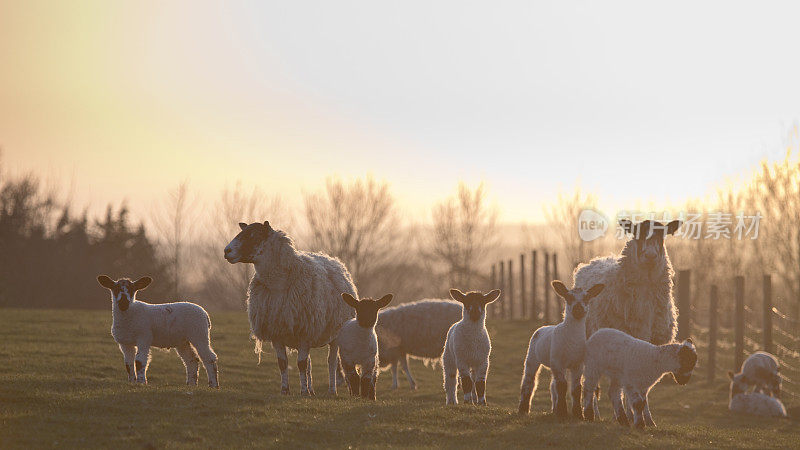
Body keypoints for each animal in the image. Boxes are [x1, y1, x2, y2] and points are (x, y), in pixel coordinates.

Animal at [222, 220, 354, 396]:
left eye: (254, 235)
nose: (226, 251)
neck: (278, 283)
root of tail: (332, 259)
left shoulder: (305, 332)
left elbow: (301, 364)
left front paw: (303, 392)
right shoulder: (277, 332)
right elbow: (283, 363)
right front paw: (285, 390)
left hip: (335, 333)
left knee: (331, 362)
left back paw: (331, 390)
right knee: (310, 363)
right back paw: (312, 389)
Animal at [520, 282, 608, 418]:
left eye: (587, 298)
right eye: (568, 297)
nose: (578, 309)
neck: (572, 340)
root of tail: (544, 327)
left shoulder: (577, 364)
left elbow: (576, 388)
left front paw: (577, 414)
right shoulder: (558, 362)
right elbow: (562, 386)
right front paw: (562, 413)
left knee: (552, 385)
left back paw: (553, 409)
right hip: (532, 356)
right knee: (529, 381)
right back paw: (523, 410)